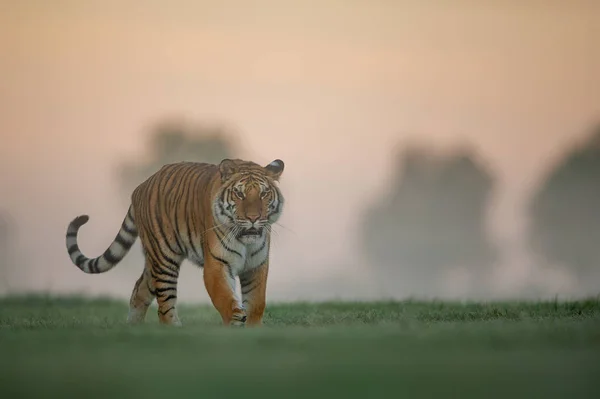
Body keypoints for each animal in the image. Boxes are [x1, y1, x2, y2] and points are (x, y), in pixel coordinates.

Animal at [64, 159, 284, 328]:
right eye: (239, 194)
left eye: (264, 194)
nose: (254, 218)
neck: (246, 241)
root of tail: (141, 186)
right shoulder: (217, 264)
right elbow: (224, 296)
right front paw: (235, 320)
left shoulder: (256, 265)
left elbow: (257, 302)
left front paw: (253, 328)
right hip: (163, 257)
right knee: (164, 304)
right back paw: (174, 329)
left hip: (152, 262)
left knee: (139, 290)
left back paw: (133, 328)